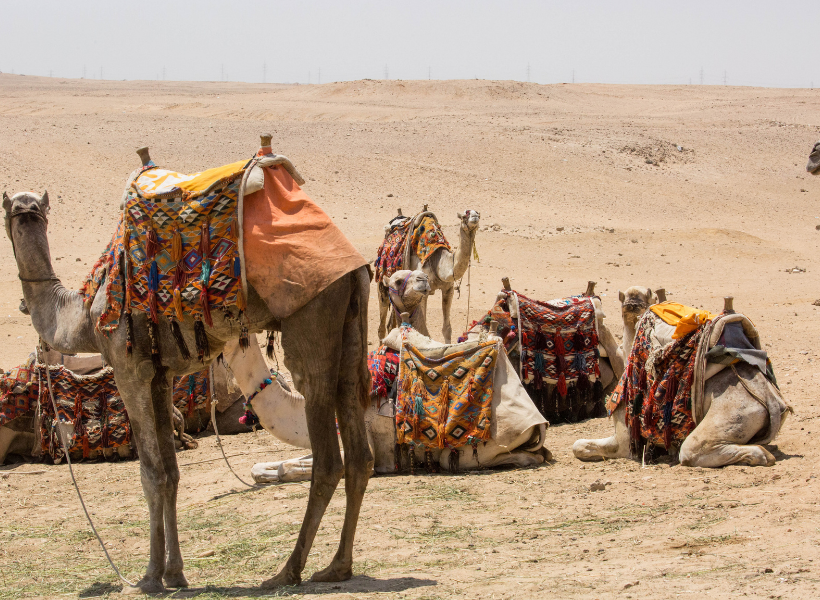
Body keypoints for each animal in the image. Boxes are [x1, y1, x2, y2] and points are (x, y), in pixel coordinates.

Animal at [1, 139, 374, 592]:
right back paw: (336, 566)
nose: (24, 207)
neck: (83, 313)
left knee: (328, 456)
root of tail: (354, 263)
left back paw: (287, 571)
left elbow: (151, 474)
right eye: (14, 208)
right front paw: (175, 573)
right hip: (352, 324)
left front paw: (148, 577)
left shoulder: (128, 371)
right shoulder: (160, 377)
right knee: (359, 454)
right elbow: (172, 472)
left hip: (312, 318)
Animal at [374, 209, 478, 344]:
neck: (439, 262)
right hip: (382, 283)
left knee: (390, 324)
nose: (475, 216)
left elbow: (447, 328)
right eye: (466, 213)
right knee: (381, 324)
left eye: (478, 213)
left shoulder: (448, 289)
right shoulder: (422, 292)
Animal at [572, 296, 792, 468]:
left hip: (734, 414)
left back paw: (761, 456)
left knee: (692, 450)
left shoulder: (626, 440)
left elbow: (579, 446)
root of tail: (771, 401)